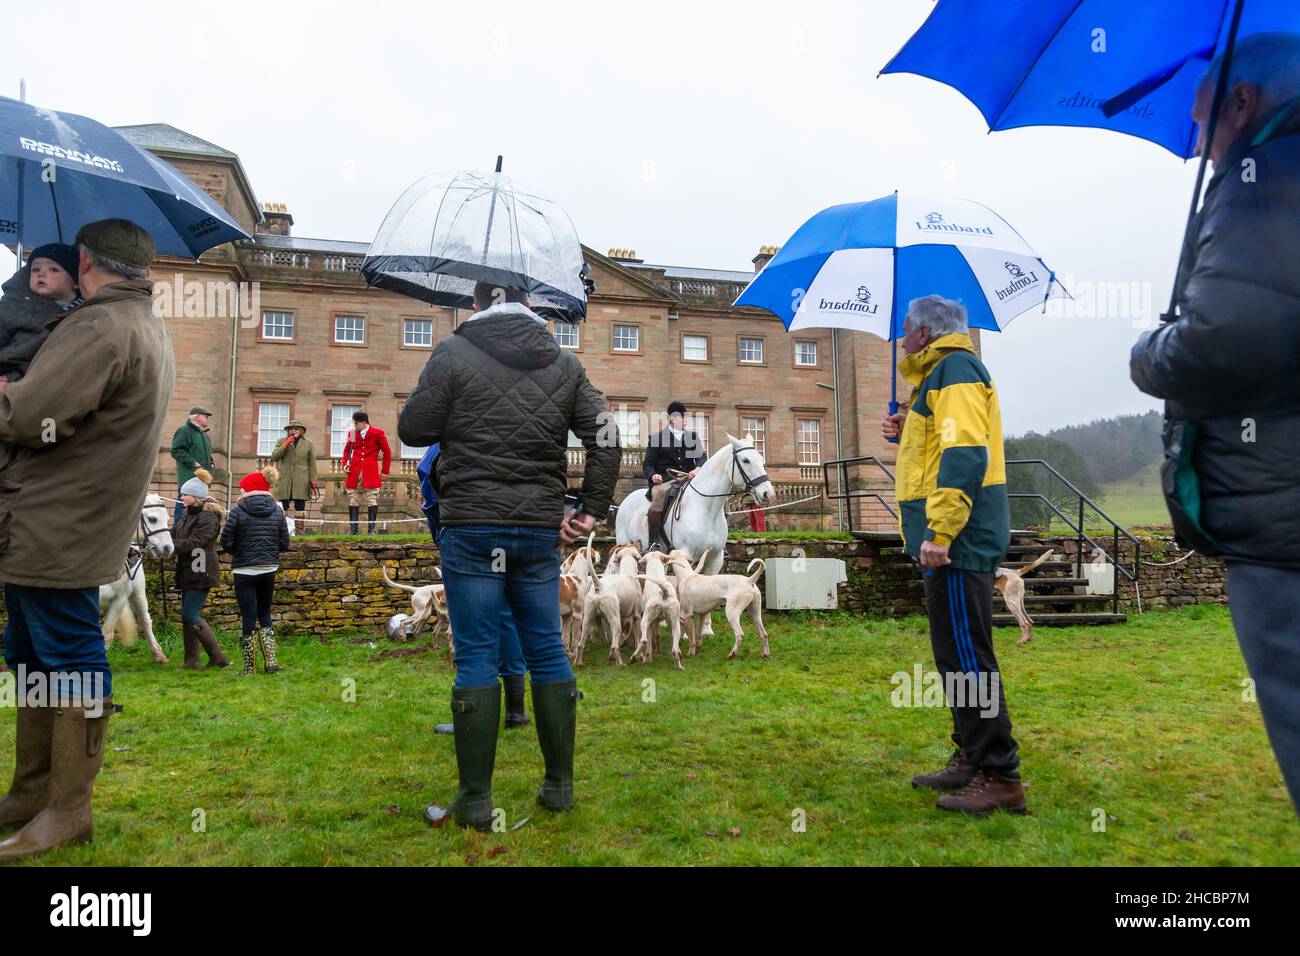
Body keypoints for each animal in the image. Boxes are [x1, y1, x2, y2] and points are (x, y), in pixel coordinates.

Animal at [101, 494, 176, 665]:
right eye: (153, 519)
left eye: (167, 518)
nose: (168, 548)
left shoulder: (119, 600)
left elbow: (106, 635)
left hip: (138, 594)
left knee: (145, 620)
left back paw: (158, 654)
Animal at [611, 437, 769, 639]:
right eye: (746, 460)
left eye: (761, 458)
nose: (767, 493)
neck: (705, 508)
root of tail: (626, 500)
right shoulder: (686, 555)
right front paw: (684, 631)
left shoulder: (715, 557)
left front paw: (707, 628)